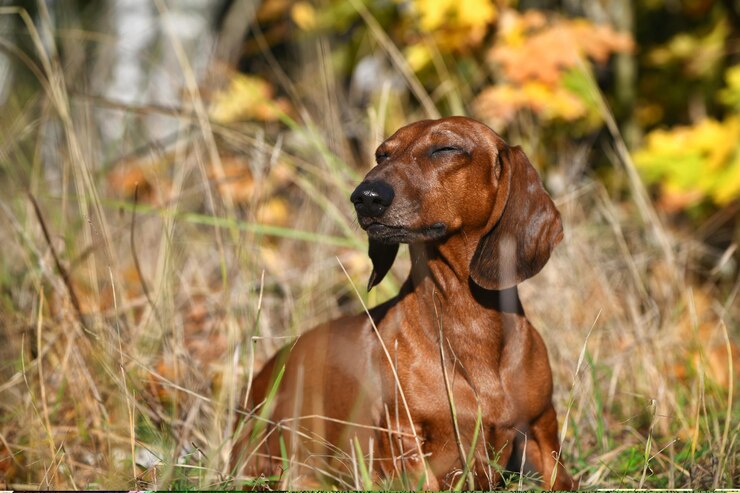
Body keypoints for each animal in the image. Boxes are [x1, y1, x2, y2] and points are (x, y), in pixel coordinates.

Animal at [231, 115, 572, 488]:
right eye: (382, 154)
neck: (467, 321)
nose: (365, 197)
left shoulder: (543, 426)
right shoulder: (403, 437)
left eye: (446, 148)